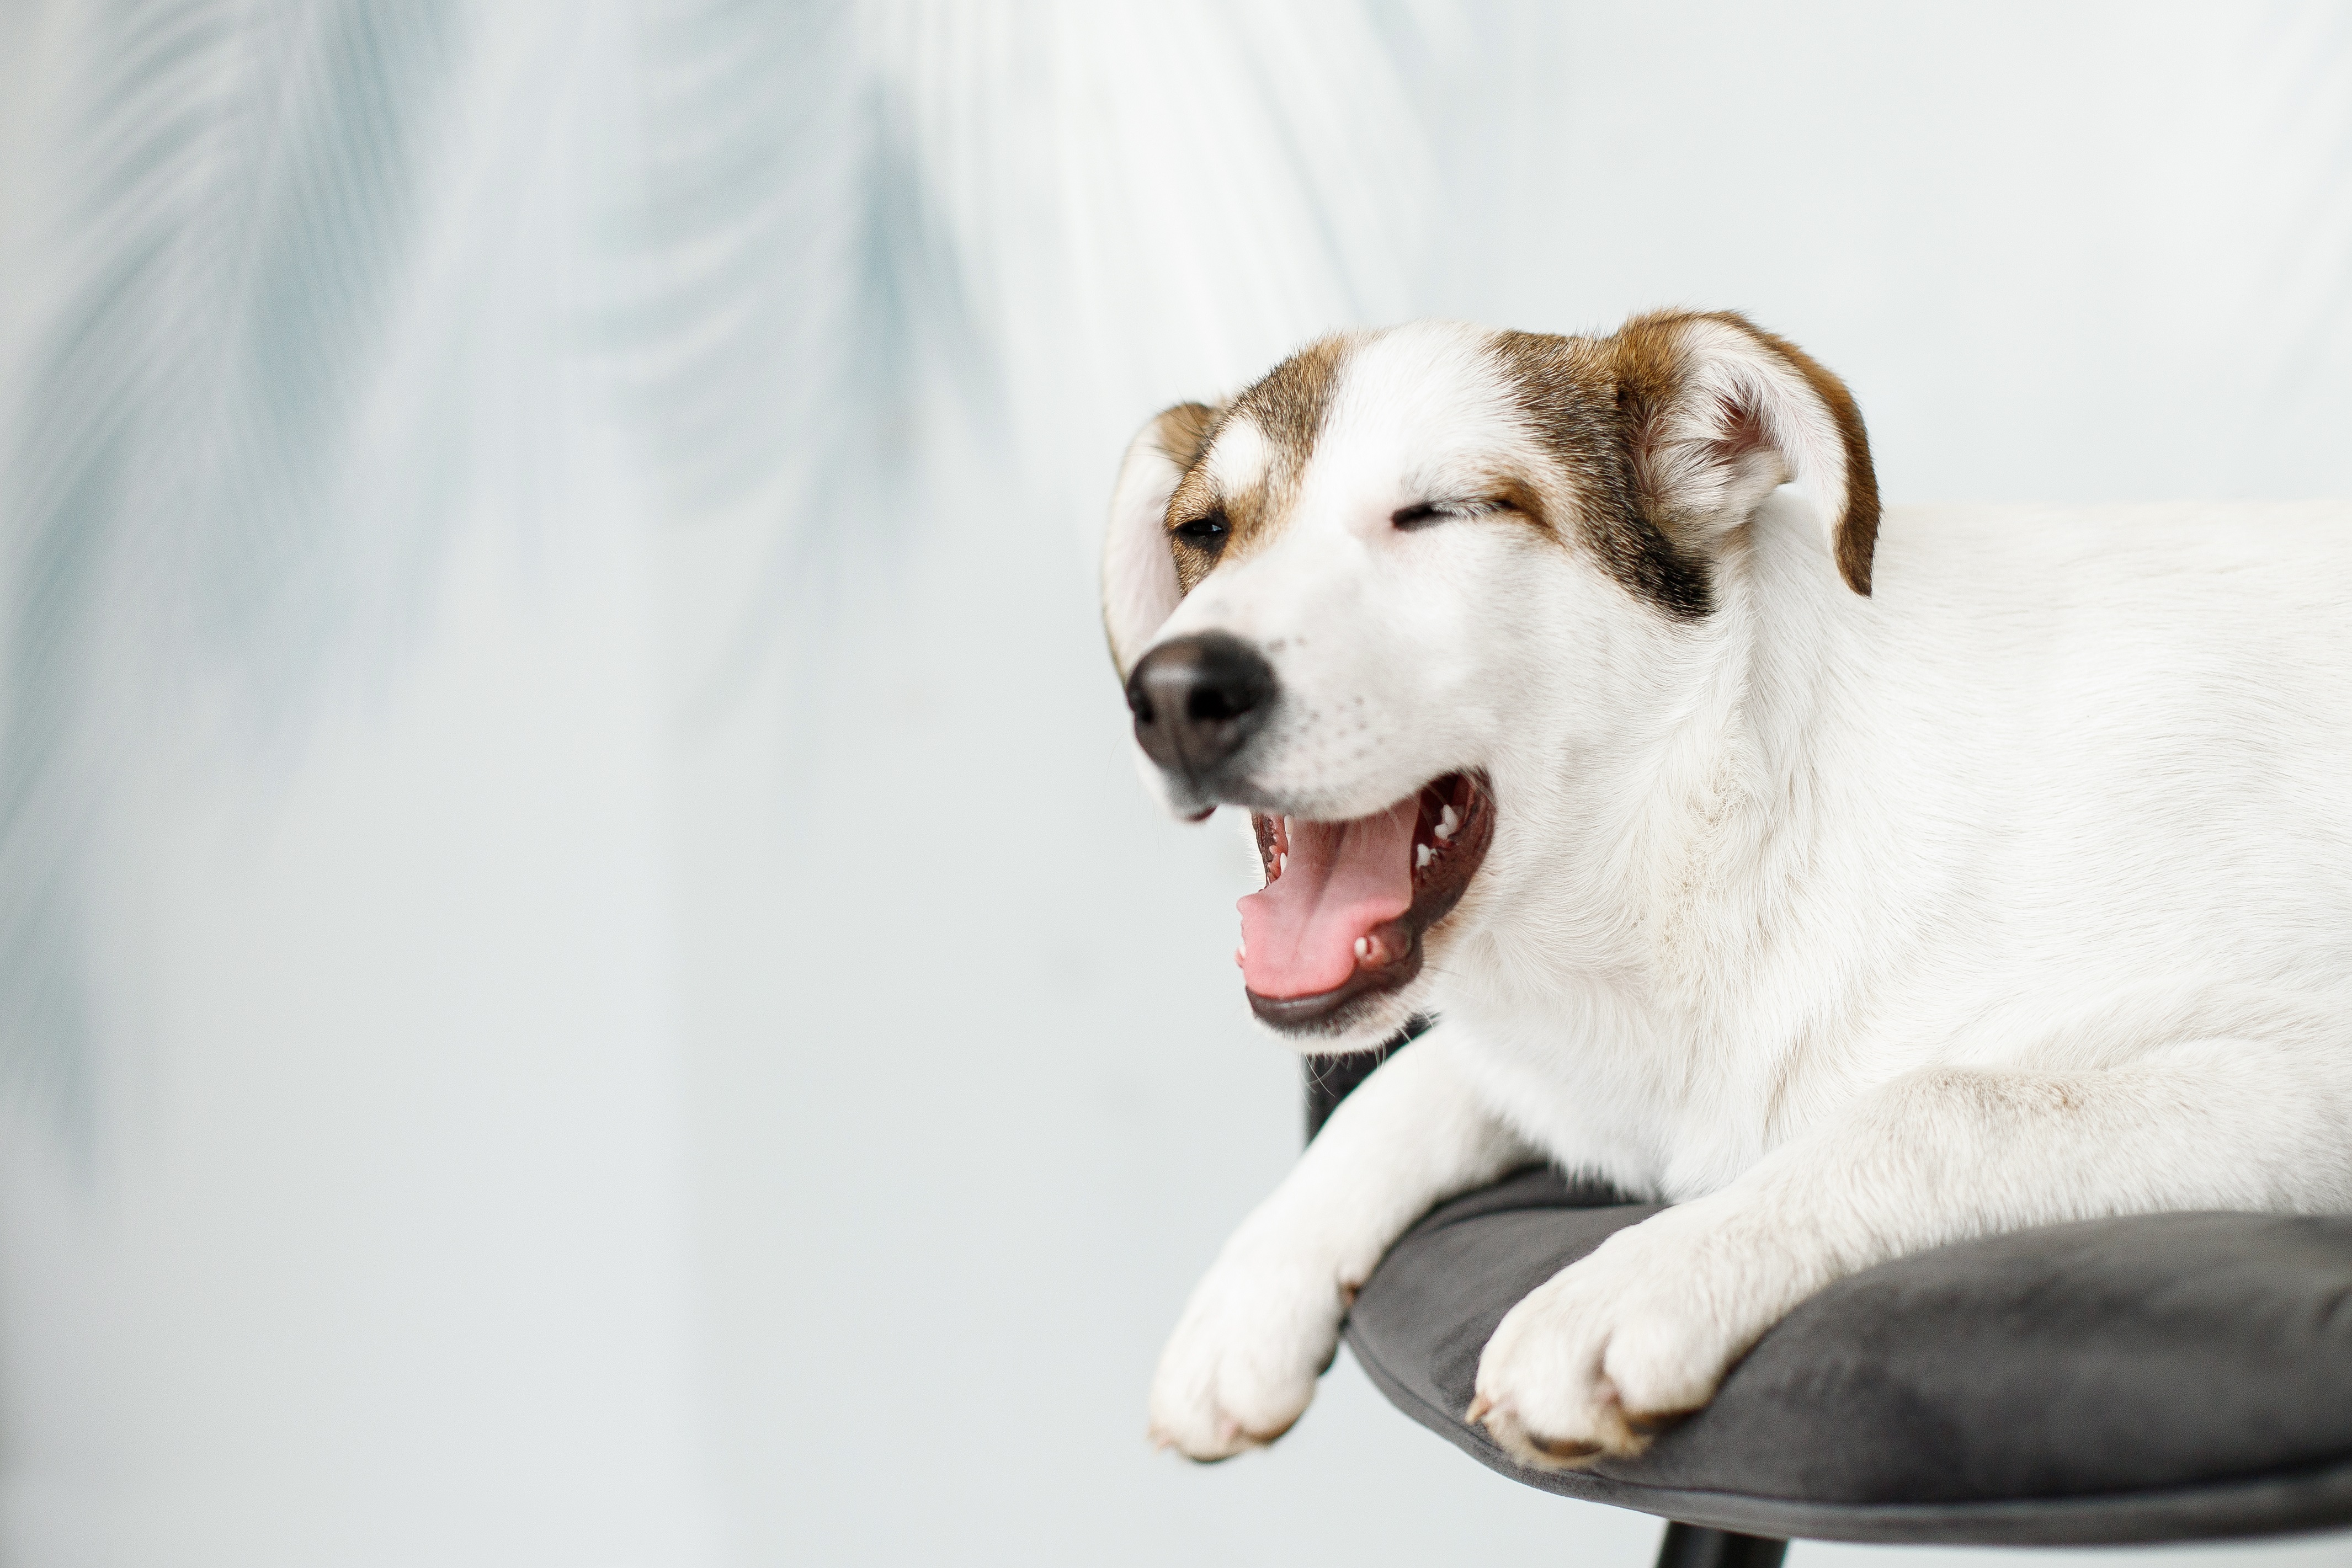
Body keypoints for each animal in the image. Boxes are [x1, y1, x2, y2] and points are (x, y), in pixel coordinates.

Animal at [1102, 310, 2352, 1470]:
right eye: (1204, 531)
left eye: (1444, 512)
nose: (1171, 694)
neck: (1720, 828)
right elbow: (1417, 1083)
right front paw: (1248, 1296)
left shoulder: (2310, 1071)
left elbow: (1946, 1100)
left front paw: (1645, 1277)